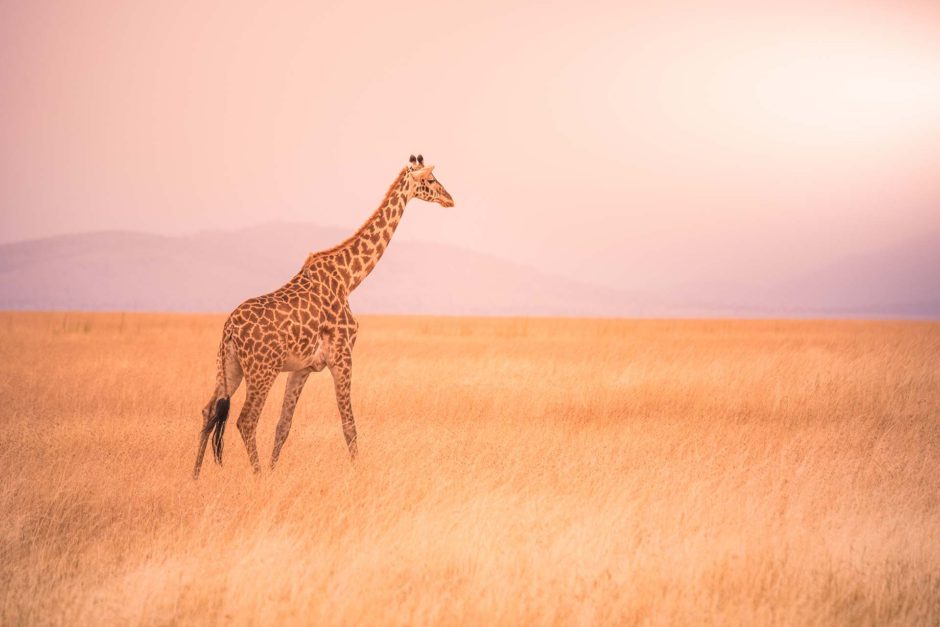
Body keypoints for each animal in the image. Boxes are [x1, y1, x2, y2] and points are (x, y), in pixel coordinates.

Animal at [193, 155, 454, 478]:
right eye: (431, 180)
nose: (450, 199)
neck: (349, 278)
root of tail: (229, 328)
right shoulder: (342, 356)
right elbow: (349, 425)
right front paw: (357, 472)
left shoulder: (302, 367)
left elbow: (283, 426)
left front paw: (275, 471)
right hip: (261, 370)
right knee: (246, 419)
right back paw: (257, 476)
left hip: (229, 366)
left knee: (208, 411)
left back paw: (196, 476)